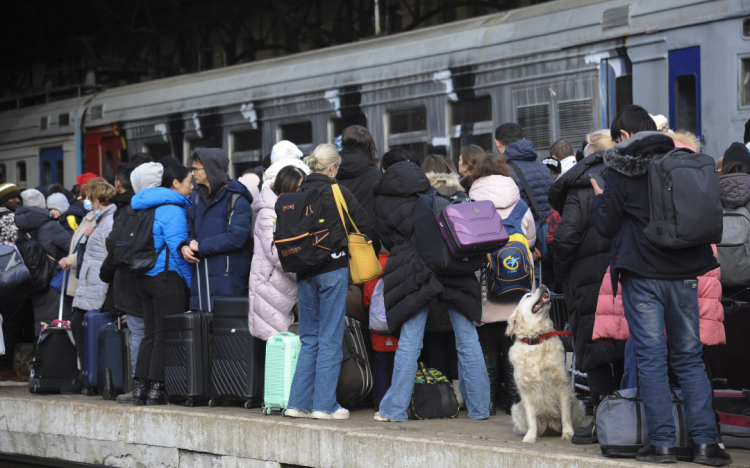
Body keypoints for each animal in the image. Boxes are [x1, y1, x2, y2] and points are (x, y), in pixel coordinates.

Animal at [508, 286, 584, 442]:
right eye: (528, 296)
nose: (542, 285)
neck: (537, 339)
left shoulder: (562, 385)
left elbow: (565, 415)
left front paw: (568, 433)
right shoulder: (526, 391)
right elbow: (531, 418)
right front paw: (530, 437)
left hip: (578, 404)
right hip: (516, 409)